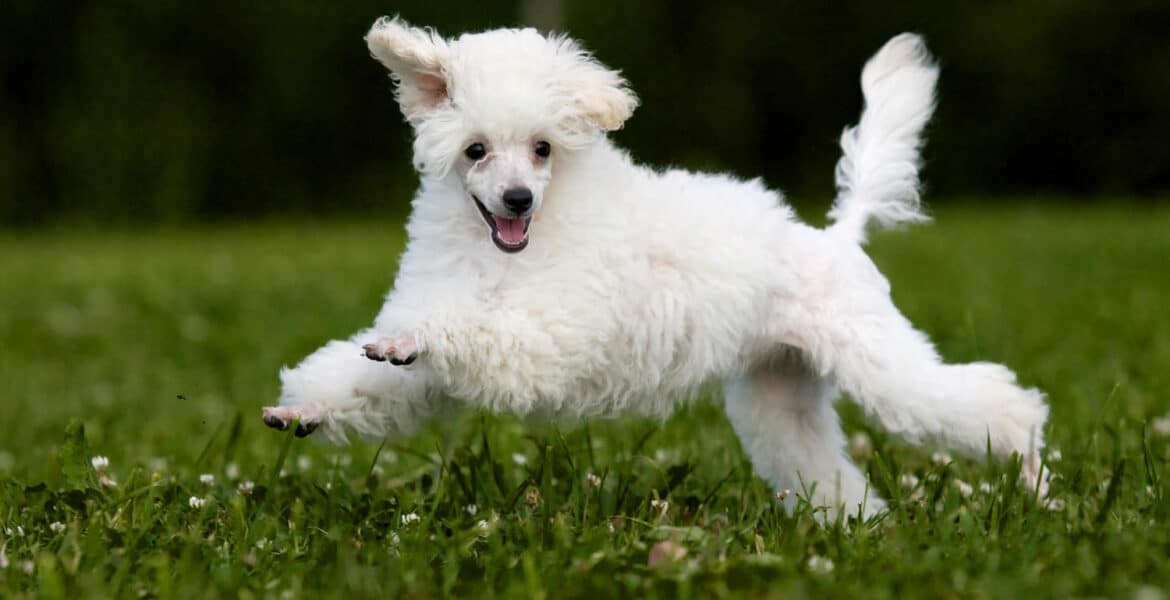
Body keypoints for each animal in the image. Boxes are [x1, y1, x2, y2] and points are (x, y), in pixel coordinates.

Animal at [265, 16, 1053, 516]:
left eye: (544, 148)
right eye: (476, 151)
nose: (518, 198)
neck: (511, 246)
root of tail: (838, 236)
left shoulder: (544, 334)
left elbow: (465, 330)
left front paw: (413, 337)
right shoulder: (431, 368)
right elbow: (370, 378)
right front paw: (304, 409)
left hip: (878, 359)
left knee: (995, 406)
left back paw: (1034, 487)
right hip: (780, 393)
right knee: (822, 465)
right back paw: (859, 527)